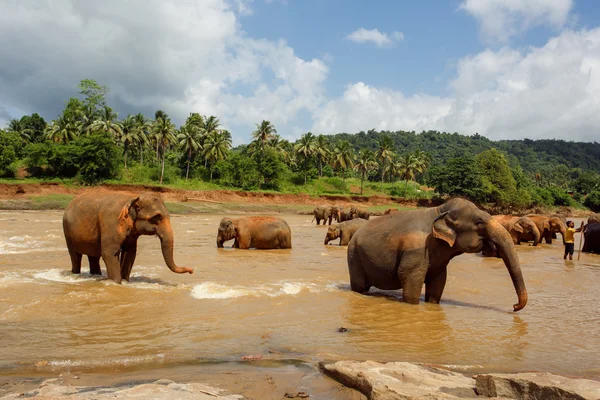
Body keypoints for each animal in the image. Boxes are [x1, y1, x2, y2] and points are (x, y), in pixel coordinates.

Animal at [61, 189, 192, 282]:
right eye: (157, 217)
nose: (192, 270)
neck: (134, 196)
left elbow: (130, 253)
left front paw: (125, 281)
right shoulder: (111, 223)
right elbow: (109, 253)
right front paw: (116, 283)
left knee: (93, 256)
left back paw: (96, 275)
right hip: (67, 230)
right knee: (75, 256)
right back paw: (75, 274)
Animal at [344, 198, 528, 310]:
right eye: (479, 223)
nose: (514, 306)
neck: (438, 211)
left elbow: (438, 282)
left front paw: (432, 305)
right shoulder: (417, 249)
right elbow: (409, 277)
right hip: (354, 256)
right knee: (360, 287)